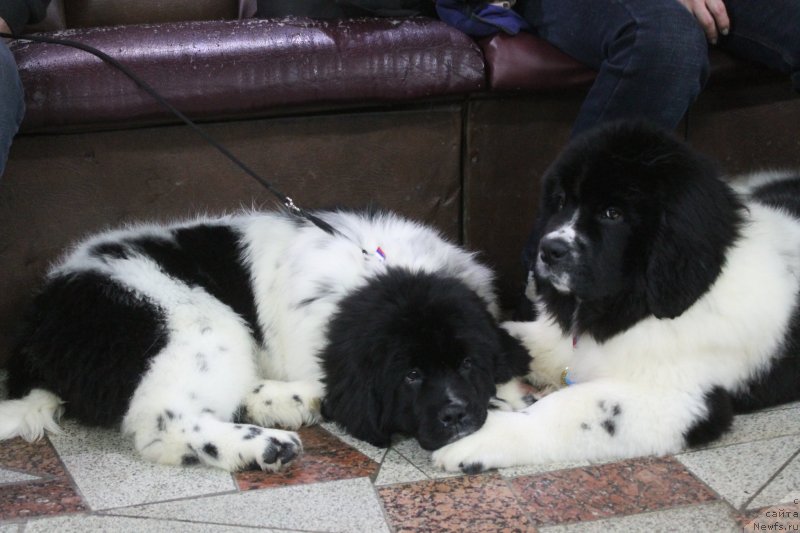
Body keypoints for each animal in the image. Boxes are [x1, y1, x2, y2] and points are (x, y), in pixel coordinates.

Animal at [1, 208, 536, 470]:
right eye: (412, 374)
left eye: (467, 364)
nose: (456, 415)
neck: (377, 274)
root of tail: (39, 318)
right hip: (197, 321)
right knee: (164, 424)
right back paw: (264, 446)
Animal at [434, 119, 800, 470]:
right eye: (561, 201)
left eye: (613, 213)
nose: (548, 250)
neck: (638, 307)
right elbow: (513, 339)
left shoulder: (684, 398)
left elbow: (575, 407)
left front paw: (478, 437)